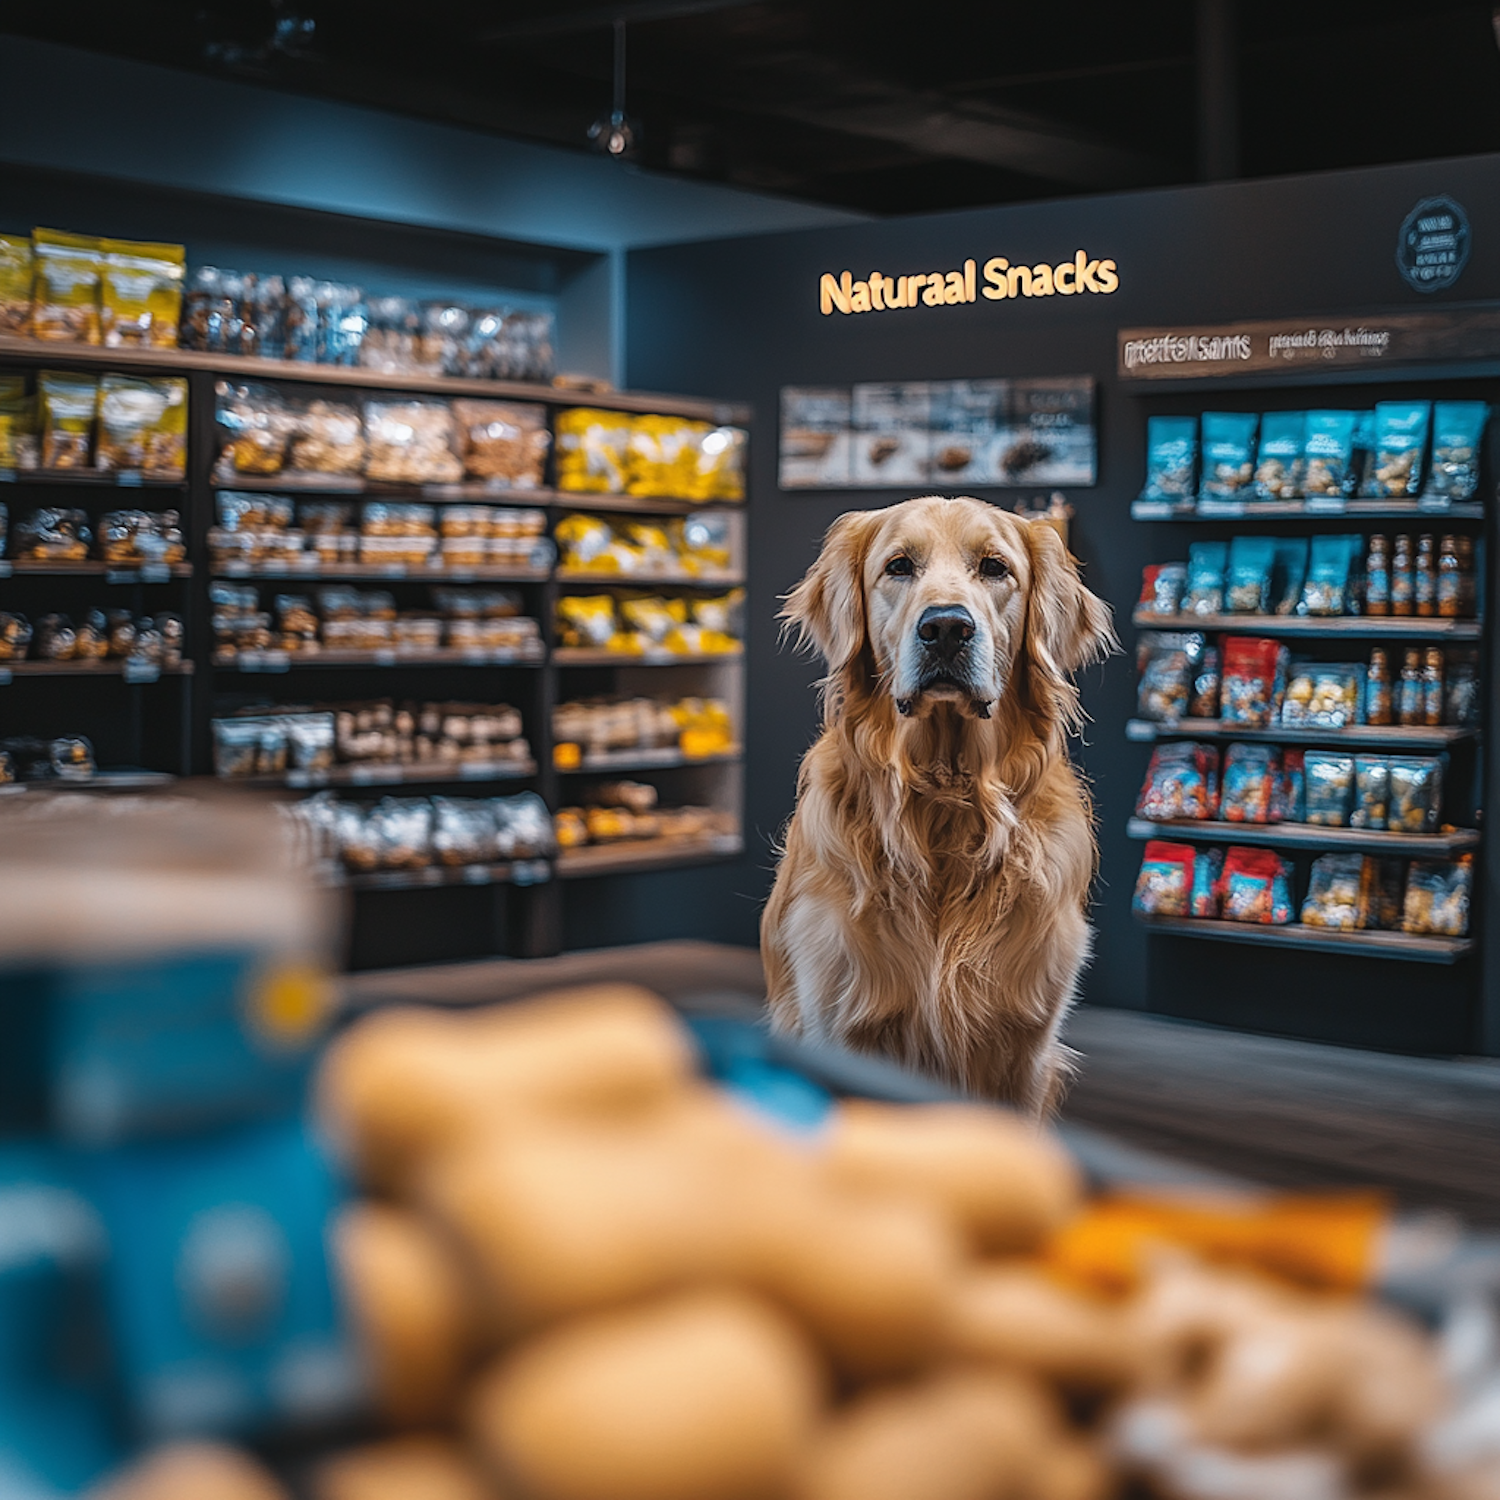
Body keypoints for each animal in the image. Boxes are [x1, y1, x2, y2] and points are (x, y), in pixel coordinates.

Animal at [762, 492, 1116, 1116]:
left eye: (995, 568)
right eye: (899, 566)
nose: (947, 627)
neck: (947, 799)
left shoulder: (1024, 1051)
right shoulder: (838, 1028)